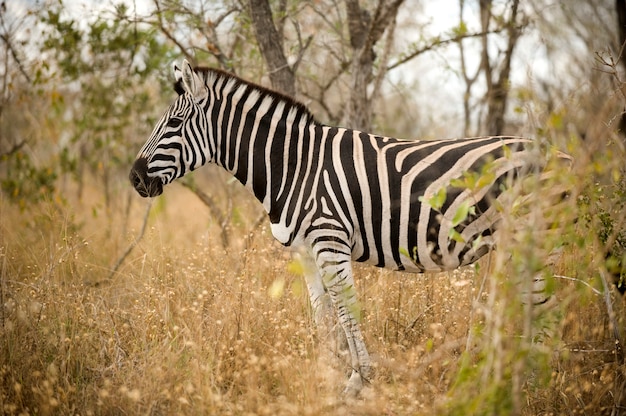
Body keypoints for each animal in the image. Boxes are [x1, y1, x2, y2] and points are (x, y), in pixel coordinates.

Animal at [129, 60, 572, 394]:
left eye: (173, 125)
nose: (134, 179)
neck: (294, 167)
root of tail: (559, 154)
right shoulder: (306, 251)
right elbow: (322, 316)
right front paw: (327, 378)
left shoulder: (330, 241)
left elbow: (347, 311)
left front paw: (359, 382)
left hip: (537, 239)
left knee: (546, 309)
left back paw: (534, 386)